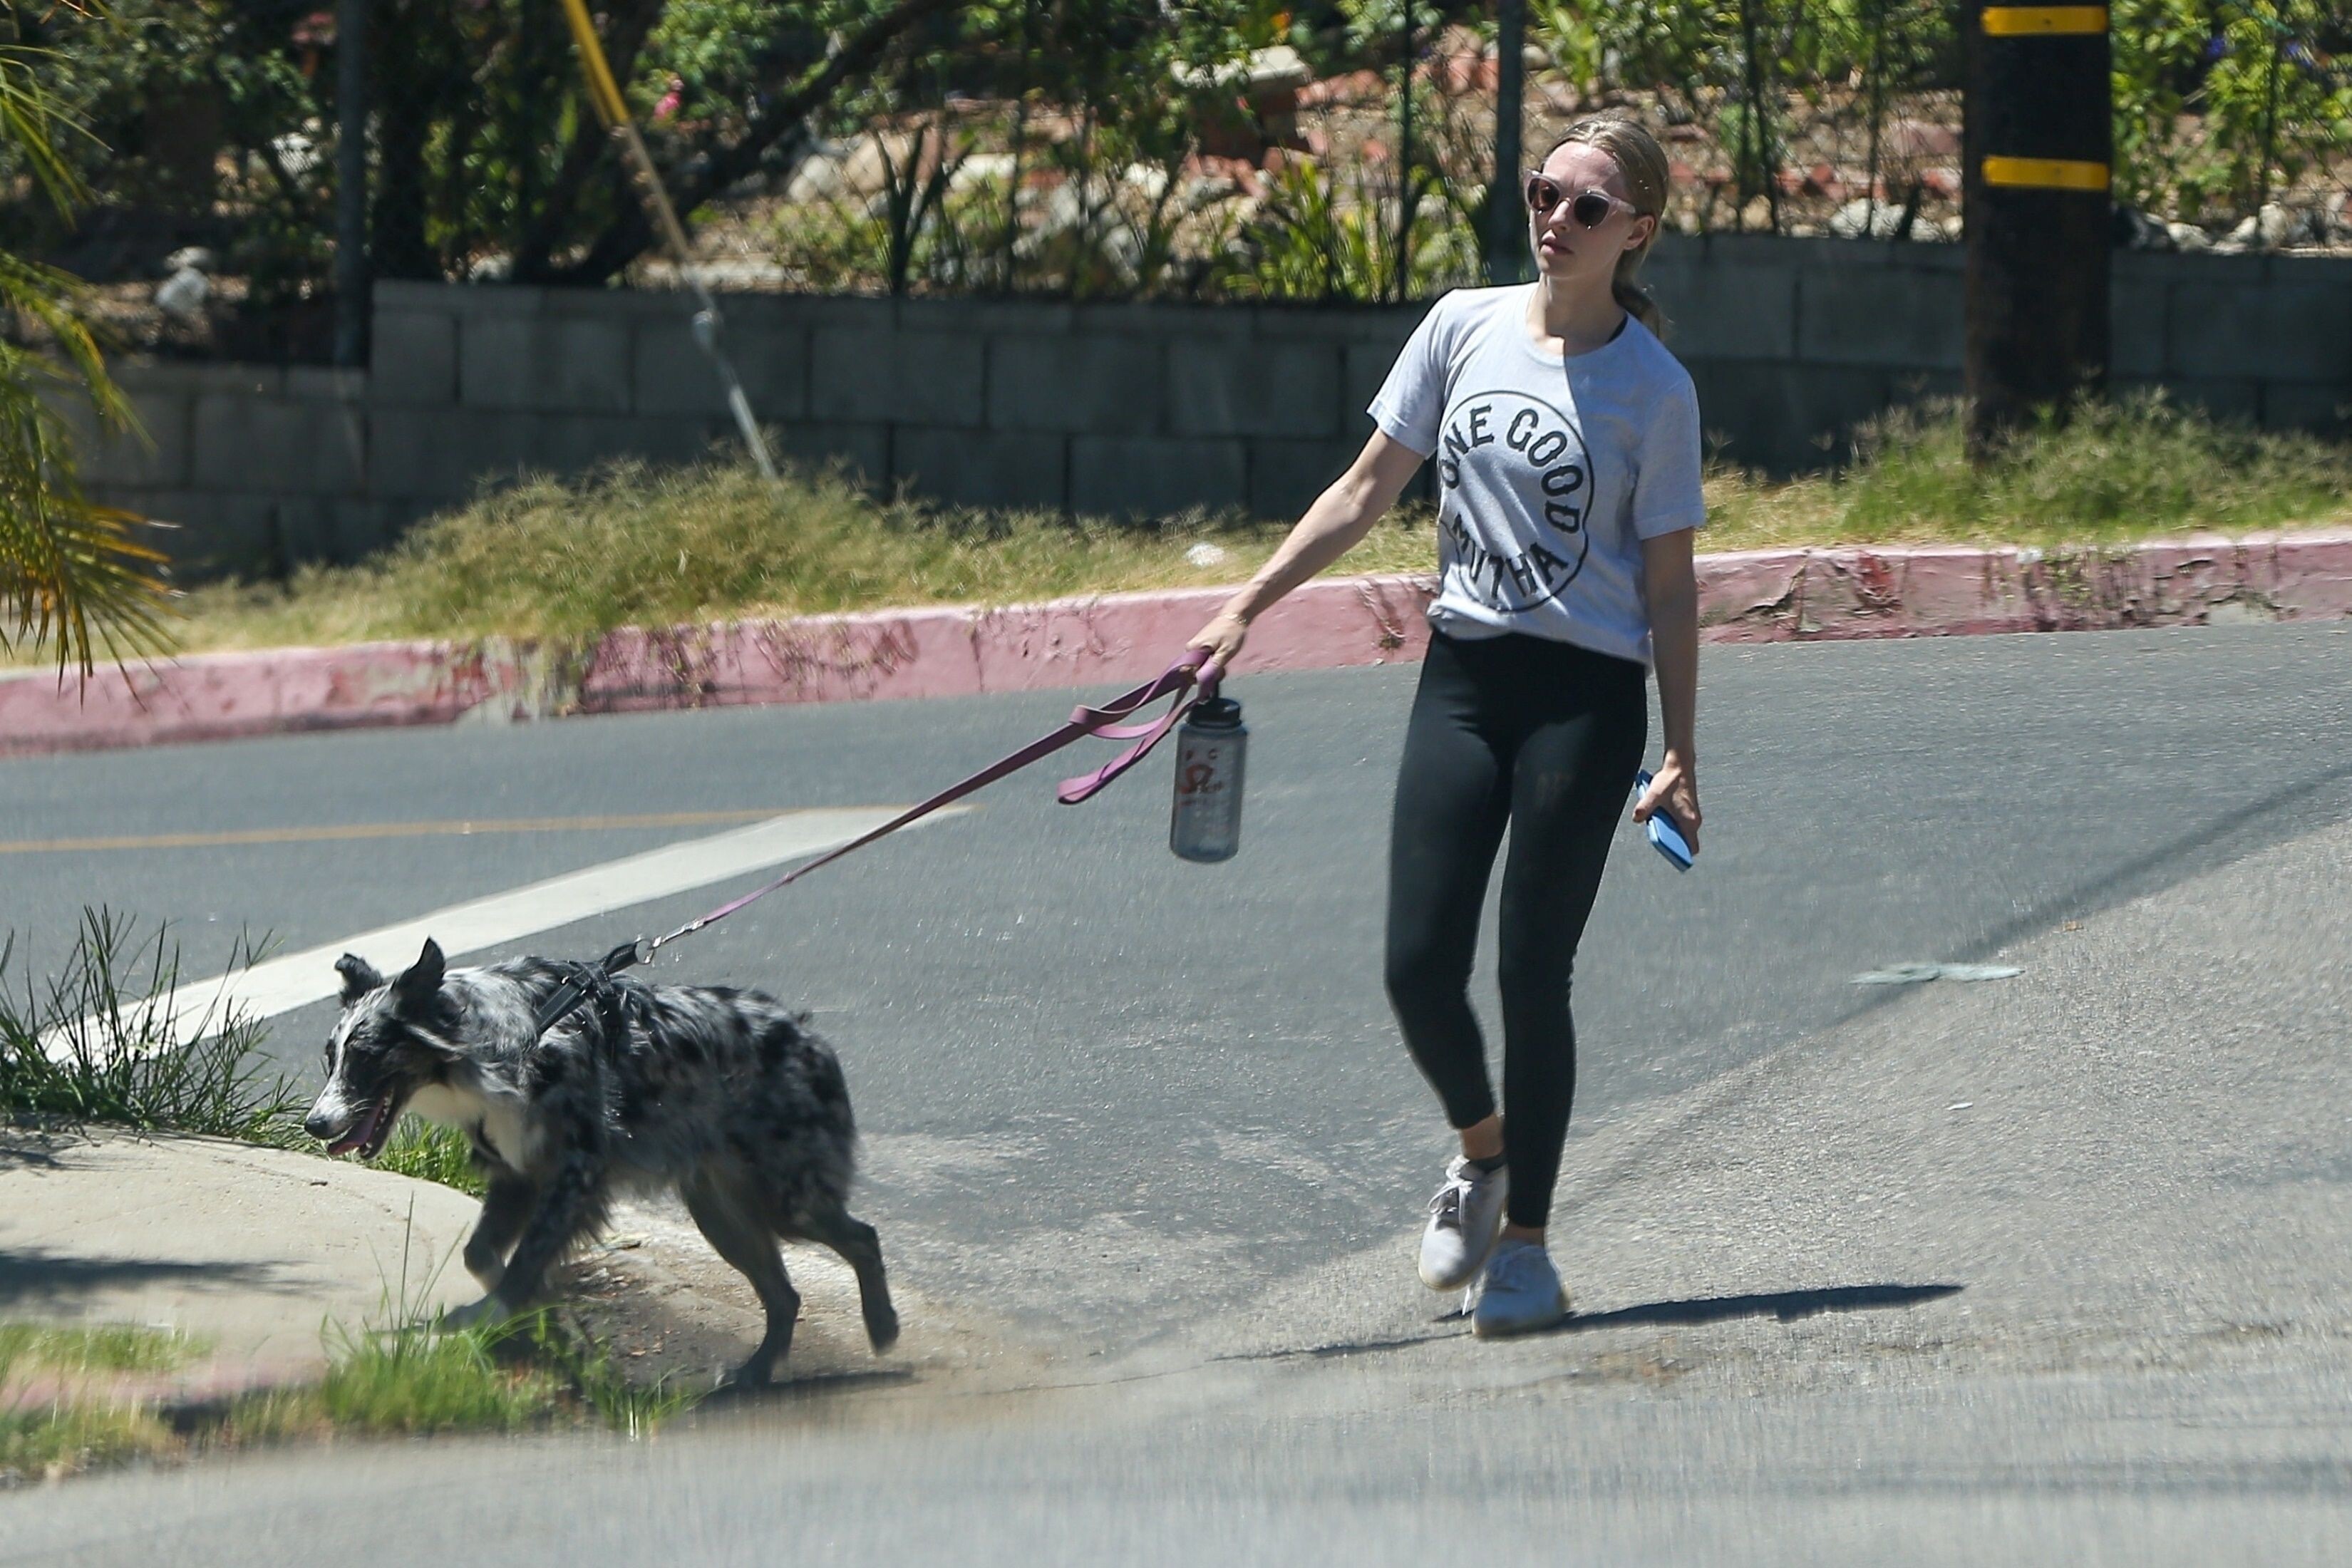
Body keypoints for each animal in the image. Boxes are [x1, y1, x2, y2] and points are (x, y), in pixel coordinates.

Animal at [308, 940, 894, 1382]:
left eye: (367, 1056)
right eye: (329, 1058)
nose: (315, 1125)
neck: (507, 1037)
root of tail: (810, 1036)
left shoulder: (577, 1173)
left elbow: (526, 1257)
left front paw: (498, 1313)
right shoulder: (518, 1175)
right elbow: (480, 1254)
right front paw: (532, 1306)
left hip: (784, 1194)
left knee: (863, 1238)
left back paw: (883, 1326)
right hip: (721, 1213)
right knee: (785, 1294)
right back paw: (755, 1373)